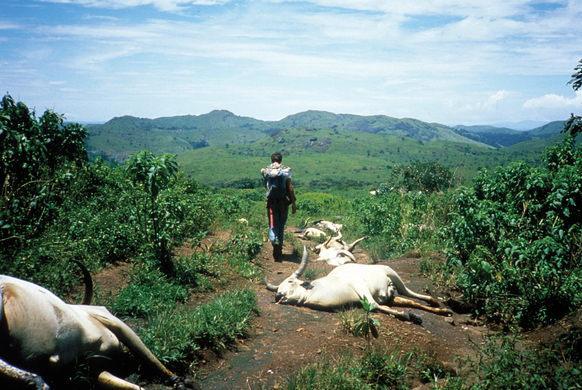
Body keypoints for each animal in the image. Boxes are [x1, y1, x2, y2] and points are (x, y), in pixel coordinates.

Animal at [0, 266, 196, 390]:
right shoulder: (110, 319)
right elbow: (147, 356)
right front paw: (178, 381)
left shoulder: (93, 368)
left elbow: (135, 386)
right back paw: (36, 381)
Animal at [266, 248, 454, 324]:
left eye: (290, 281)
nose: (278, 295)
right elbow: (376, 306)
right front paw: (410, 315)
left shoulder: (361, 287)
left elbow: (374, 304)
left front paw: (409, 316)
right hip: (392, 295)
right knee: (409, 300)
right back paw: (442, 310)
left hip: (393, 274)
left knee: (410, 293)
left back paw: (435, 302)